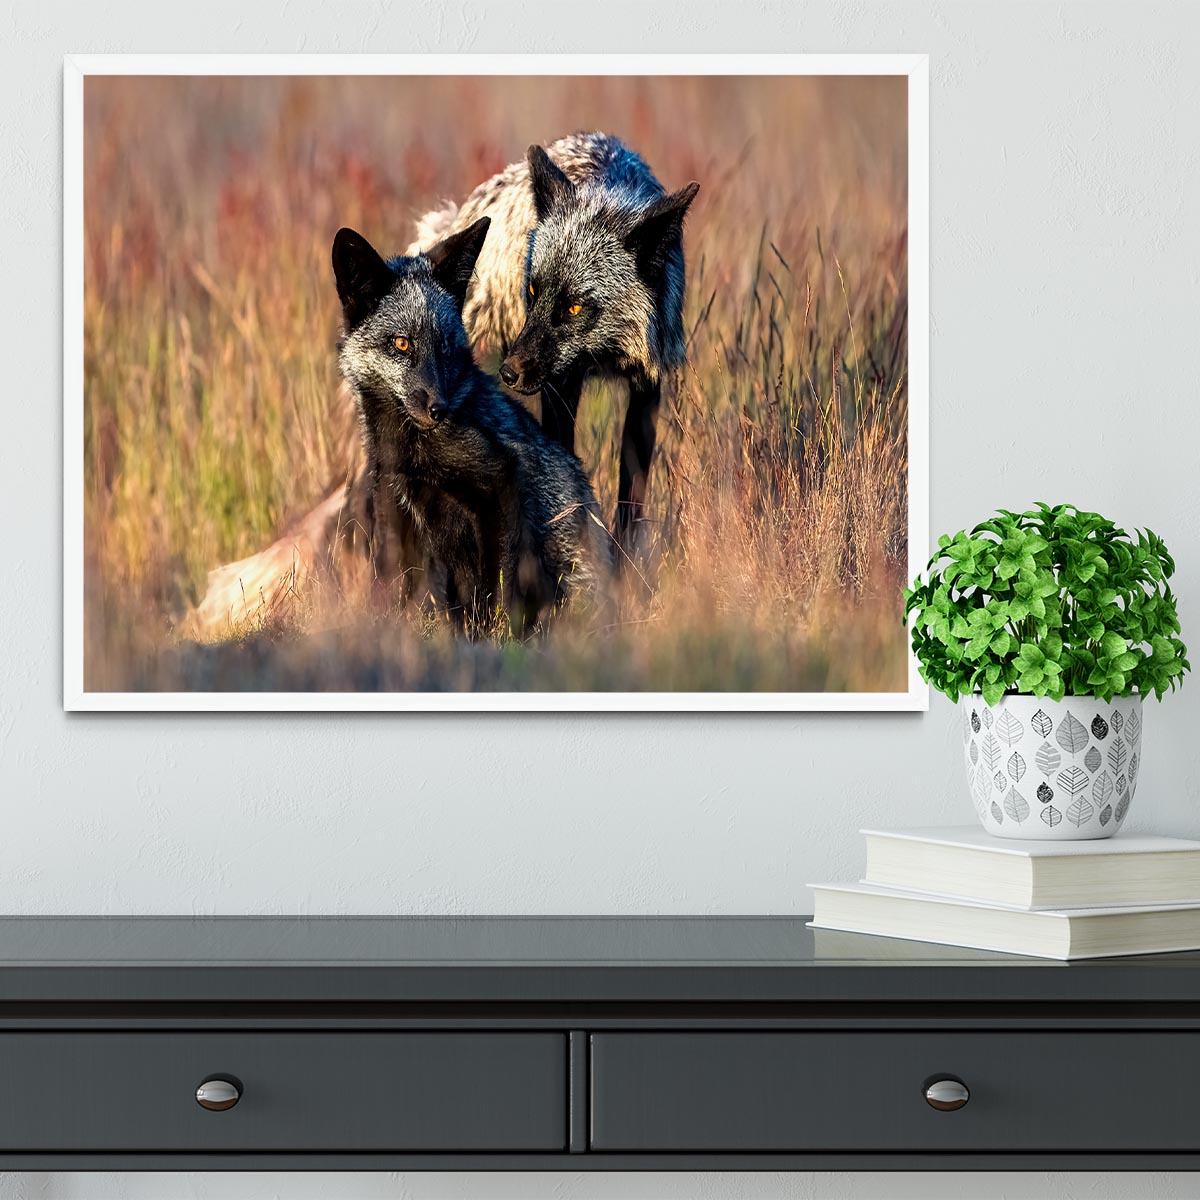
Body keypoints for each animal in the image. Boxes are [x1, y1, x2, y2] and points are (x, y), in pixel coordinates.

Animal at [331, 219, 611, 634]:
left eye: (446, 346)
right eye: (401, 344)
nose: (439, 409)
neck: (410, 451)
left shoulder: (500, 484)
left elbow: (495, 592)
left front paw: (491, 642)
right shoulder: (391, 506)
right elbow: (391, 588)